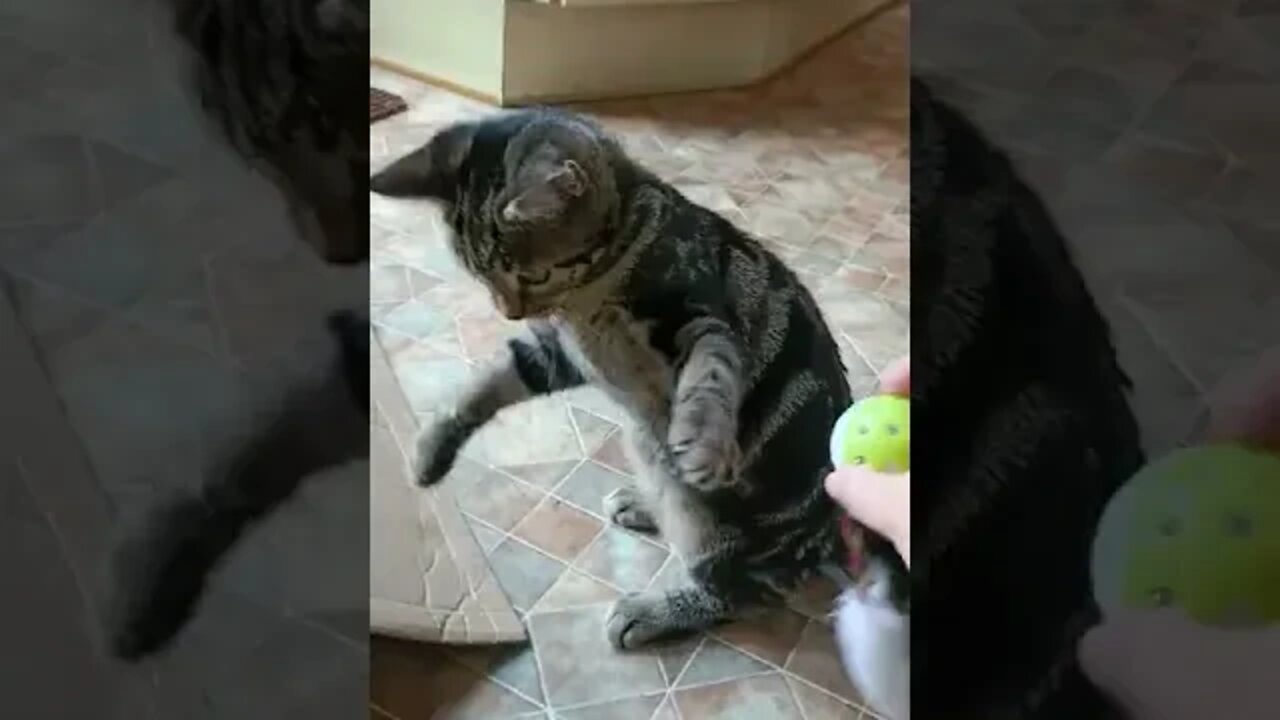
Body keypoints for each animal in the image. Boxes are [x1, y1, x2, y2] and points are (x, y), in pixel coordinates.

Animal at [371, 109, 911, 648]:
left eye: (532, 276)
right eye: (480, 275)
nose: (509, 311)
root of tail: (828, 531)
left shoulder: (700, 317)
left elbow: (711, 374)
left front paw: (702, 439)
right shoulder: (554, 355)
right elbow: (485, 384)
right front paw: (430, 449)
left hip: (711, 523)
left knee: (742, 592)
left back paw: (654, 609)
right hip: (648, 446)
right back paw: (643, 502)